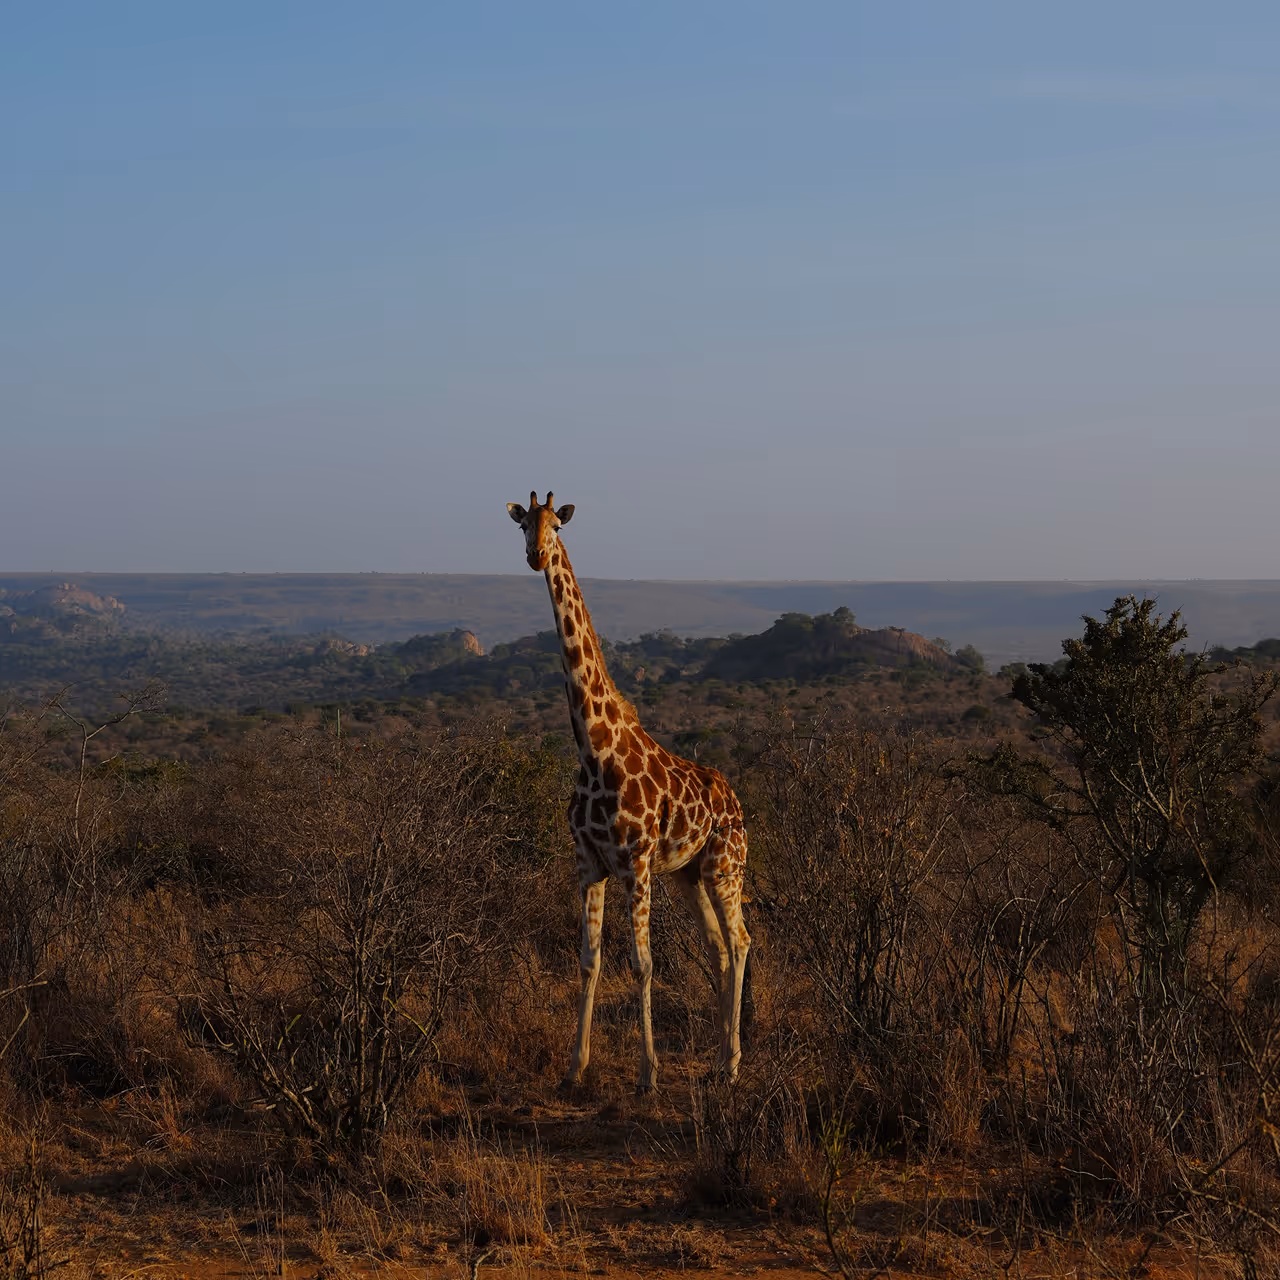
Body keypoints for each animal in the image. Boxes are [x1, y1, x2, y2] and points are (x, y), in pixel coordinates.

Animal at [507, 492, 751, 1092]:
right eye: (522, 525)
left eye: (556, 524)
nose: (536, 555)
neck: (594, 748)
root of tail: (736, 800)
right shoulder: (588, 861)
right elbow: (589, 961)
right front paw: (575, 1067)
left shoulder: (635, 863)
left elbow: (642, 964)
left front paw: (648, 1074)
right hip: (688, 875)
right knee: (718, 948)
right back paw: (718, 1060)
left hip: (724, 866)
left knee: (740, 942)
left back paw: (735, 1062)